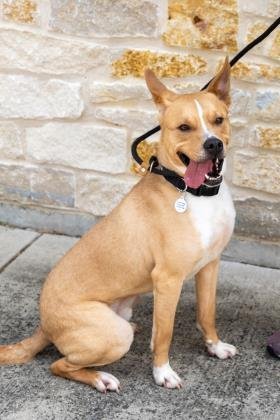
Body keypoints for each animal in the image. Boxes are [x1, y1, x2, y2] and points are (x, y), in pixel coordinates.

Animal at [0, 57, 236, 392]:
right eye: (184, 127)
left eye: (219, 120)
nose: (214, 144)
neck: (194, 194)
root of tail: (44, 326)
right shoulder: (168, 279)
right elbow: (165, 334)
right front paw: (162, 372)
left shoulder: (210, 266)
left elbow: (207, 314)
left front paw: (214, 346)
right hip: (114, 335)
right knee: (58, 365)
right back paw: (101, 378)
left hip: (123, 314)